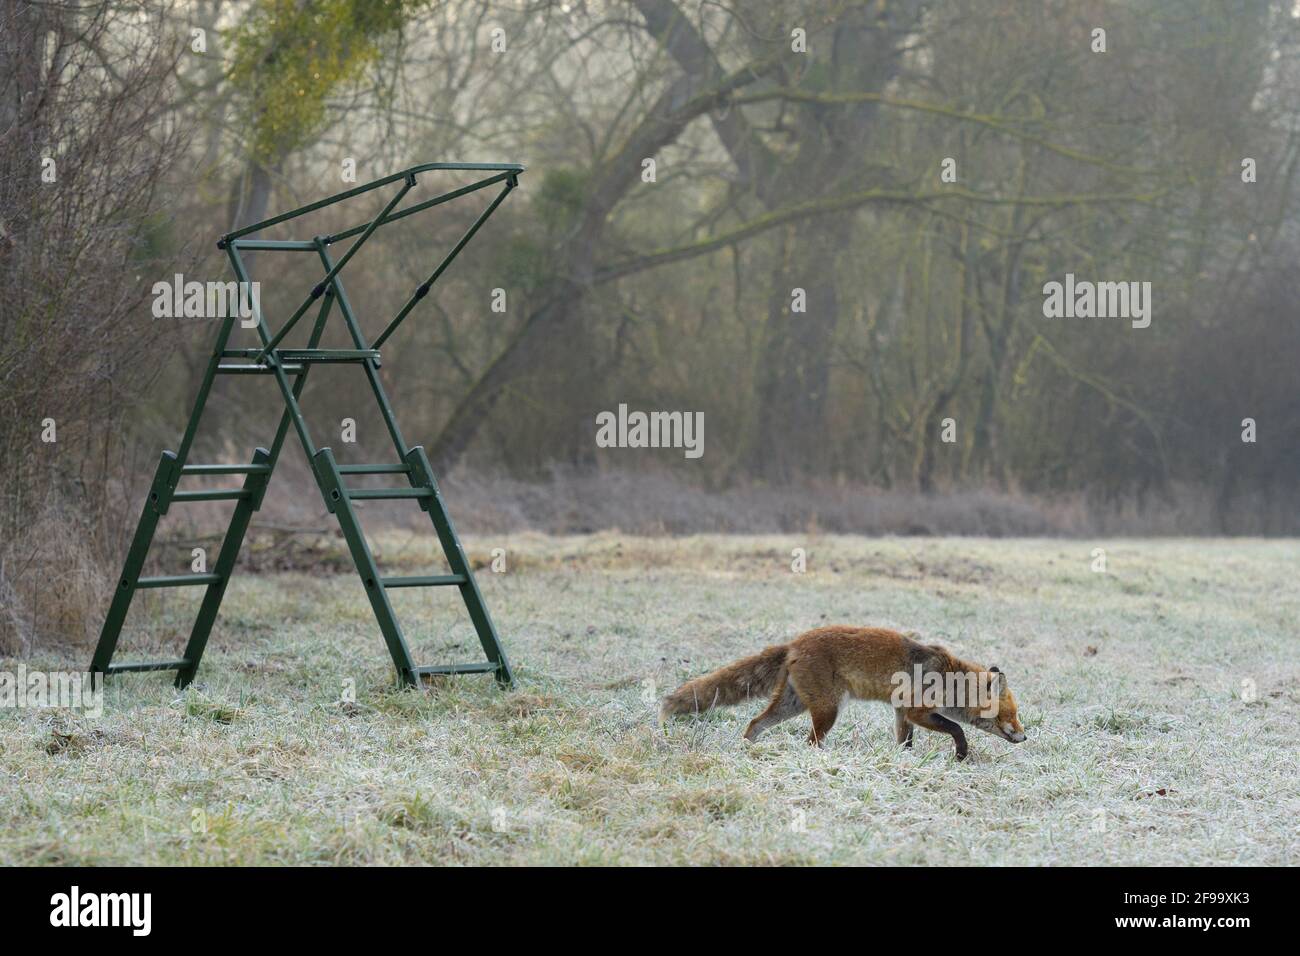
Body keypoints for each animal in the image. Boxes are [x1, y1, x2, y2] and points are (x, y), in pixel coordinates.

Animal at [660, 629, 1024, 764]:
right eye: (1012, 714)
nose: (1025, 736)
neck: (948, 676)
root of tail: (794, 643)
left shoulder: (901, 712)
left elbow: (905, 741)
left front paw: (903, 762)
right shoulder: (917, 710)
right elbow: (957, 728)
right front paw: (961, 754)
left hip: (791, 705)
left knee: (754, 723)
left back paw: (748, 750)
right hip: (827, 710)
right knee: (810, 741)